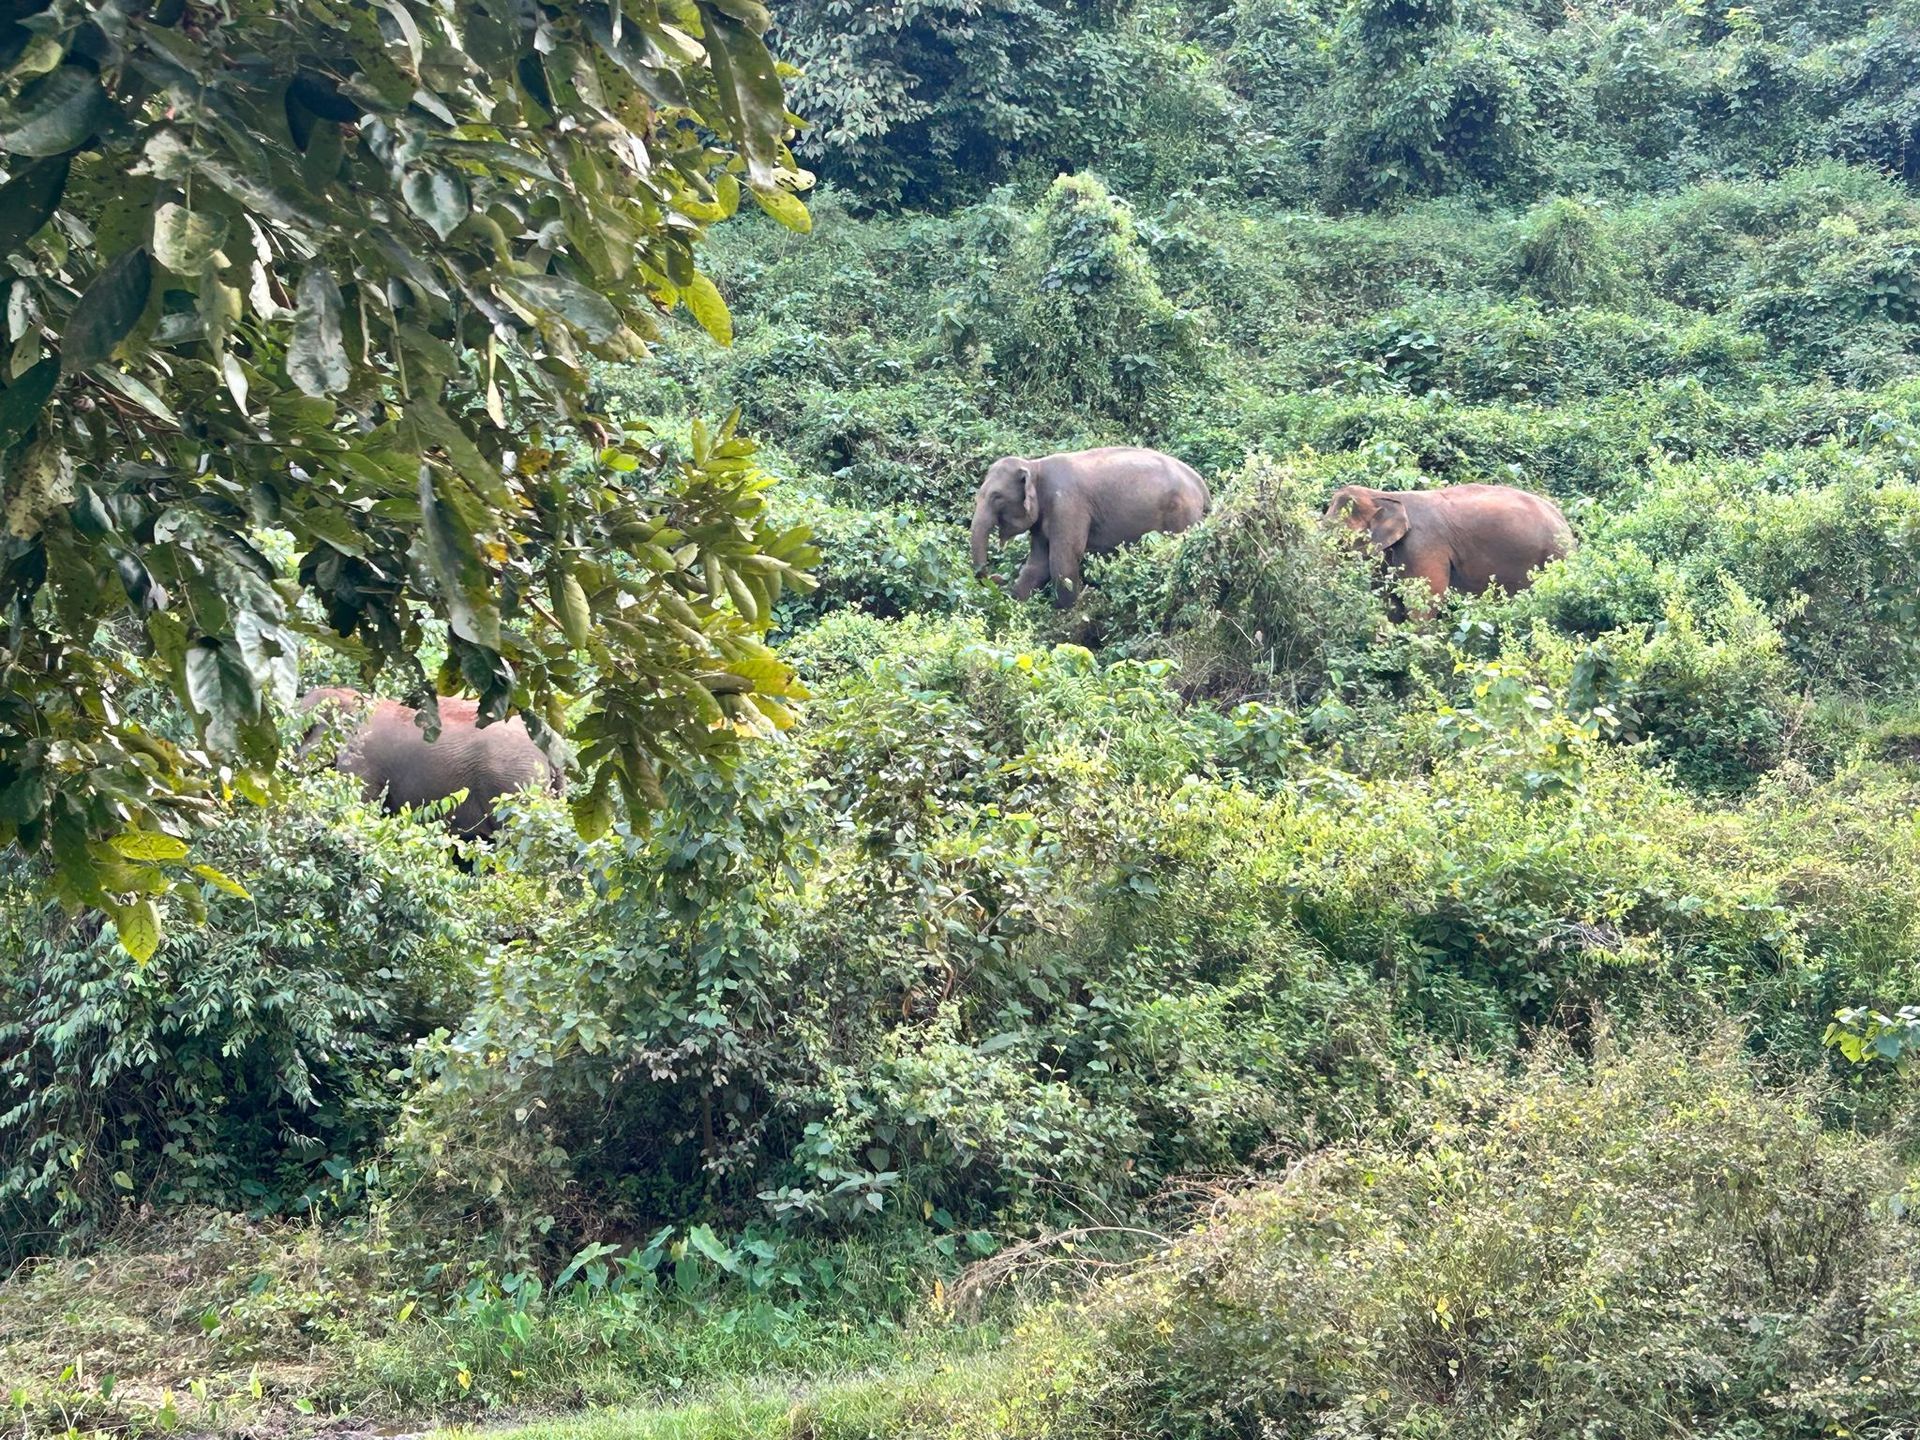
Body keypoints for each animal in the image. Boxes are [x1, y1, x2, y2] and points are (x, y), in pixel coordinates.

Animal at [970, 446, 1211, 609]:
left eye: (996, 497)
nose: (998, 578)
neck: (1035, 465)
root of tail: (1202, 485)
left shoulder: (1067, 505)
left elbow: (1063, 559)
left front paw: (1064, 612)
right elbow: (1037, 564)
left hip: (1182, 515)